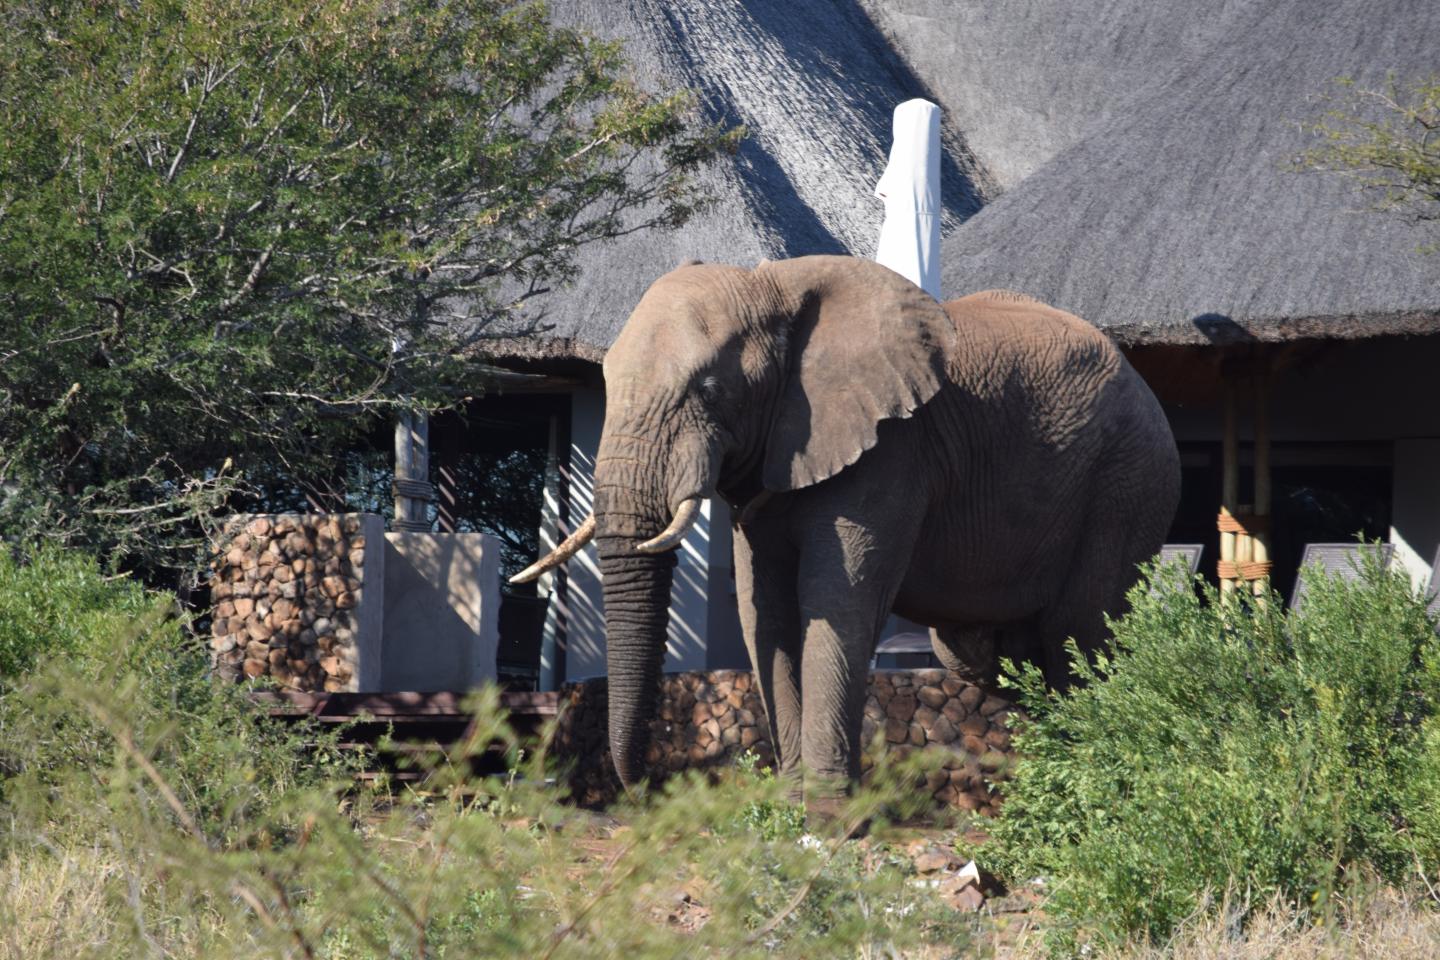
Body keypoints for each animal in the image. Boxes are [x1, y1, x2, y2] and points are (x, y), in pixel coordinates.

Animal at [513, 255, 1180, 802]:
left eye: (710, 389)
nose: (646, 788)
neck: (773, 288)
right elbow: (764, 610)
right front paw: (790, 806)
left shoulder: (892, 450)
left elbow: (837, 601)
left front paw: (831, 814)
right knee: (987, 654)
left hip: (1129, 481)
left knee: (1078, 634)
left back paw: (1085, 786)